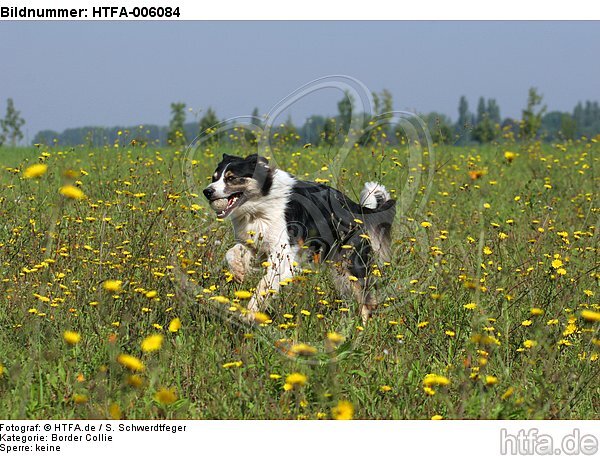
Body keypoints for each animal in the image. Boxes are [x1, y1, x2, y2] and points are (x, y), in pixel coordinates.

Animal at [204, 153, 396, 320]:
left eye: (231, 178)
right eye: (214, 178)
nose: (207, 192)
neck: (261, 204)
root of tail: (355, 207)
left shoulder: (283, 254)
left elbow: (264, 286)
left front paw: (250, 314)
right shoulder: (256, 244)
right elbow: (231, 252)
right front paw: (238, 271)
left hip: (351, 263)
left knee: (366, 299)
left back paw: (362, 329)